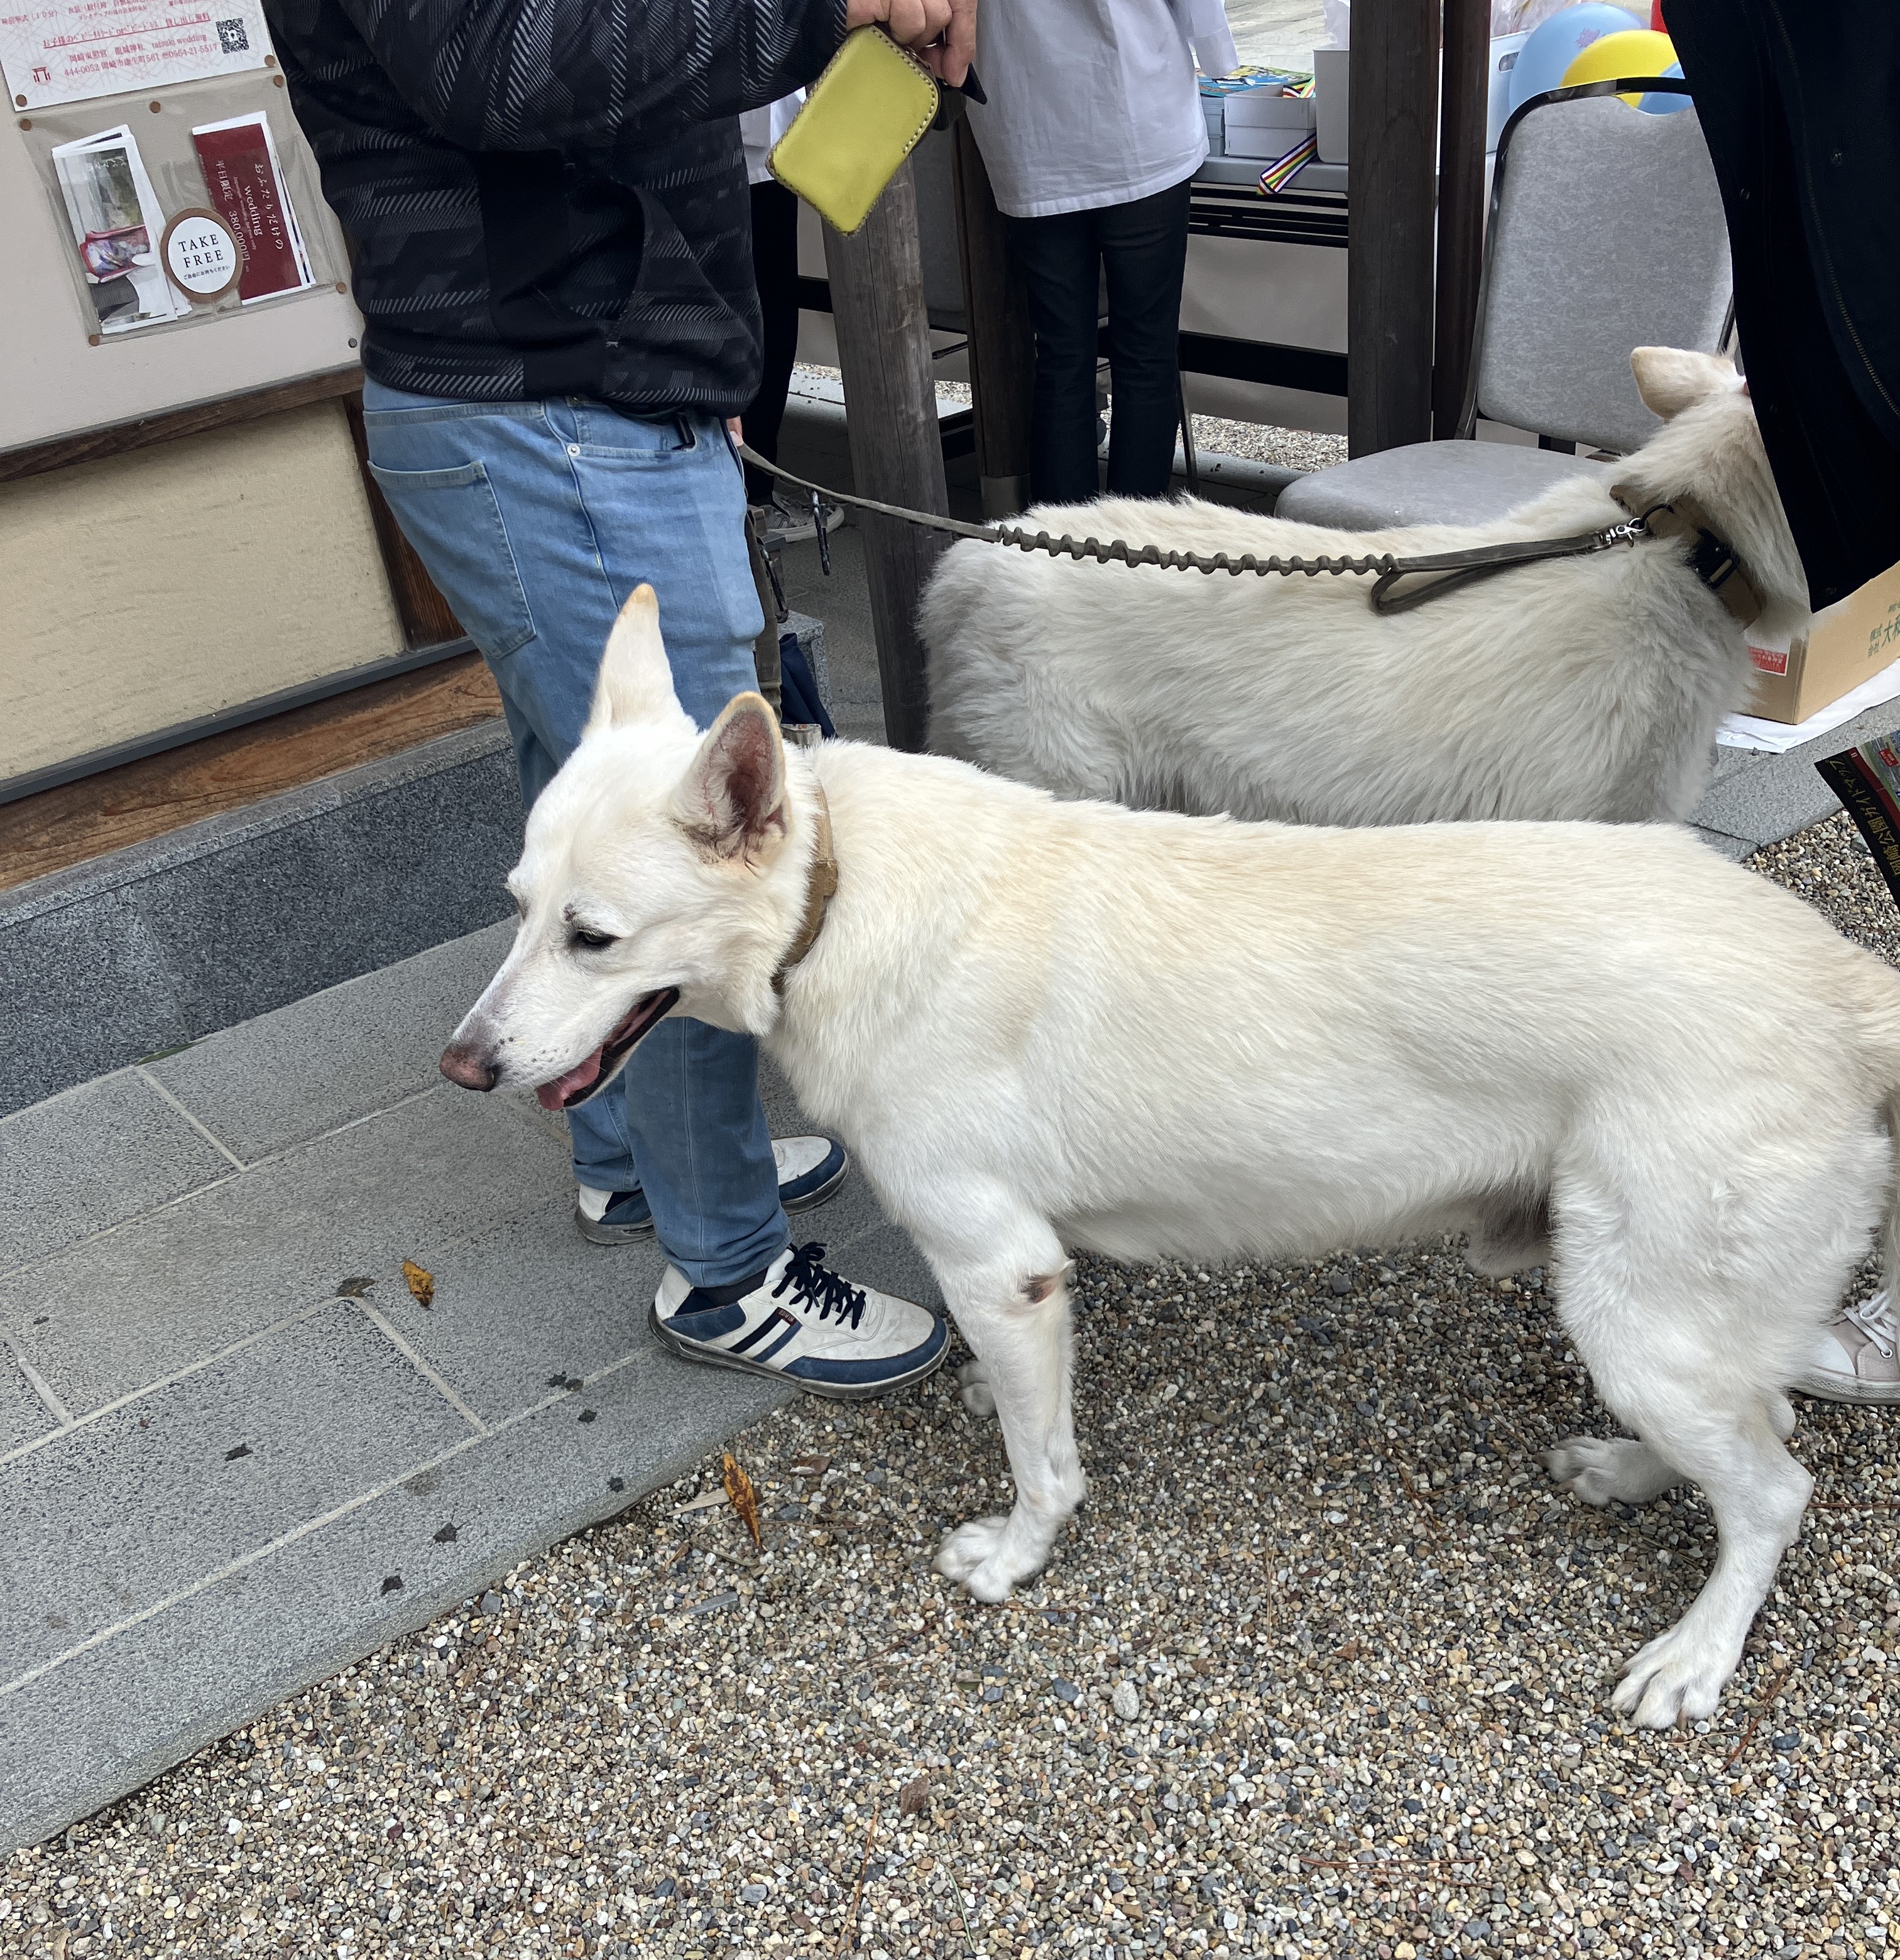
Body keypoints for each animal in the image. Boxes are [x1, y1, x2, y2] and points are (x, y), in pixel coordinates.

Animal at [437, 584, 1897, 1733]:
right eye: (516, 909)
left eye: (592, 938)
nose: (463, 1067)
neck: (836, 898)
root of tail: (1838, 975)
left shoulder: (1003, 1268)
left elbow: (1043, 1464)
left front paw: (1016, 1557)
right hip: (1653, 1316)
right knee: (1753, 1426)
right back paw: (1632, 1473)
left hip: (1634, 1306)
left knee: (1773, 1488)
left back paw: (1696, 1654)